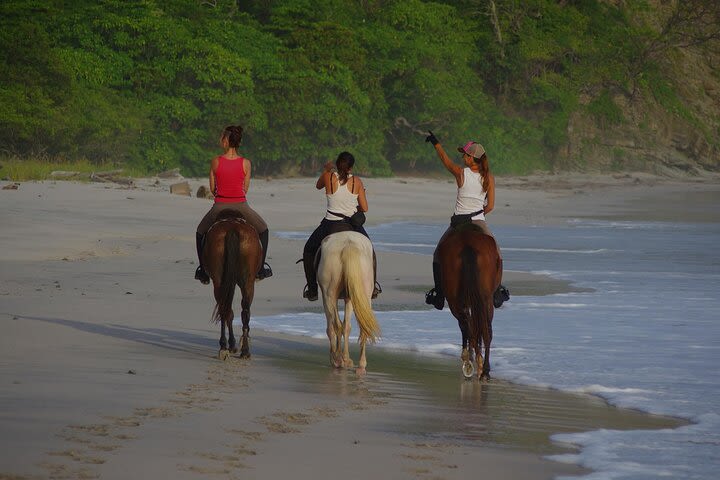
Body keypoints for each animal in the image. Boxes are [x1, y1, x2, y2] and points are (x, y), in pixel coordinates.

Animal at [202, 210, 262, 360]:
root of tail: (232, 228)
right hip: (247, 283)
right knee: (243, 311)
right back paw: (242, 349)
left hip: (219, 281)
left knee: (226, 308)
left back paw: (225, 346)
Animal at [316, 231, 380, 374]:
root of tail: (348, 244)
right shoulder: (350, 297)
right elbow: (347, 326)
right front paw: (346, 359)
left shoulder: (327, 296)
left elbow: (333, 327)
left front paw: (337, 358)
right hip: (362, 294)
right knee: (362, 327)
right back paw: (360, 364)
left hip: (329, 295)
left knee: (334, 326)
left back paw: (338, 359)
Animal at [436, 224, 504, 378]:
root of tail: (468, 245)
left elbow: (466, 326)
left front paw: (468, 356)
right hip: (486, 299)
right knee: (485, 329)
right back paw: (484, 369)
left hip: (454, 301)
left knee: (467, 325)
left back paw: (471, 363)